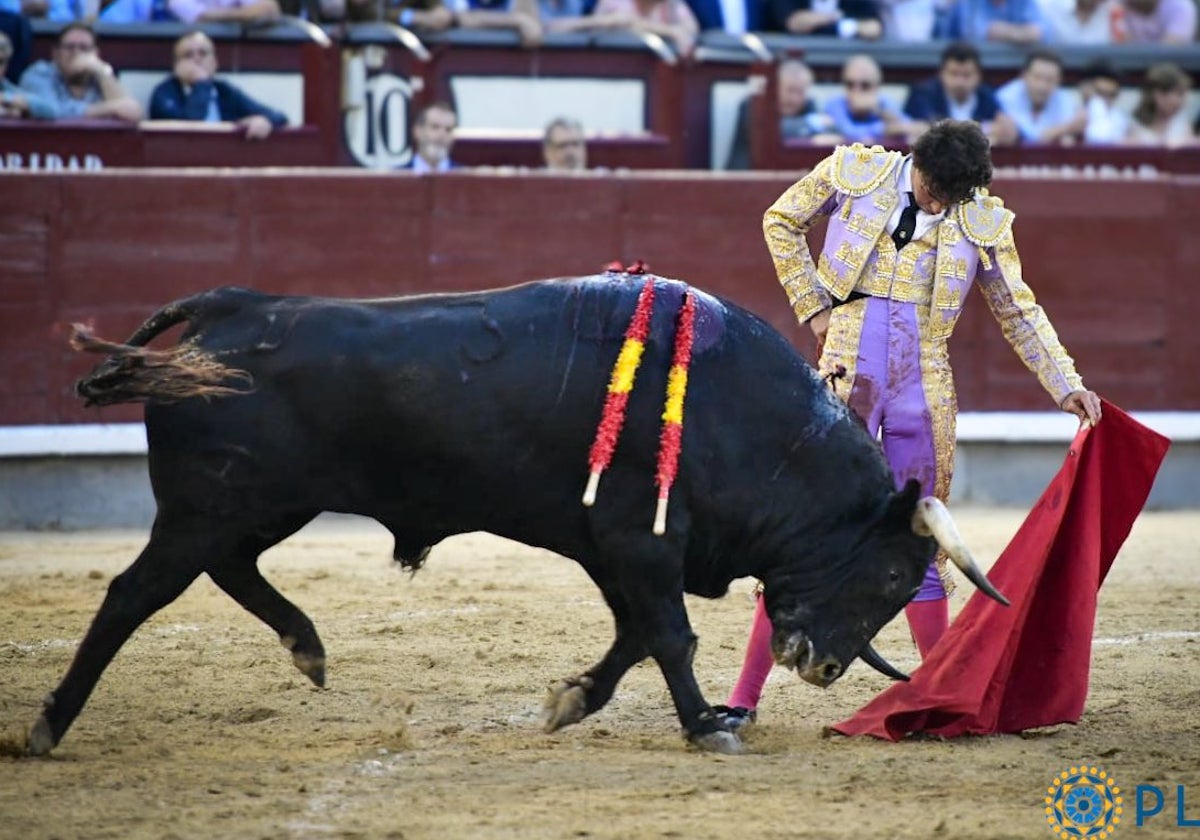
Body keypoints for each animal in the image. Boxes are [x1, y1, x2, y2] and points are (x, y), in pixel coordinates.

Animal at [30, 276, 1003, 753]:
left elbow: (635, 637)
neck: (747, 420)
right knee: (131, 596)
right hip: (206, 507)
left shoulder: (613, 549)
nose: (823, 667)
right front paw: (706, 728)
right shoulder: (641, 542)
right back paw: (48, 726)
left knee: (230, 568)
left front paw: (573, 700)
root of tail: (227, 309)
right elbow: (671, 635)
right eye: (890, 570)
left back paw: (307, 646)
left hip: (260, 505)